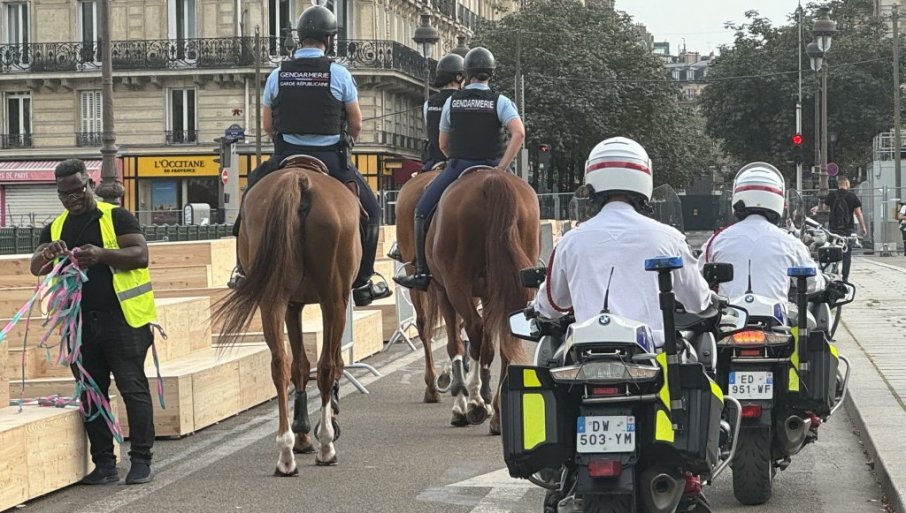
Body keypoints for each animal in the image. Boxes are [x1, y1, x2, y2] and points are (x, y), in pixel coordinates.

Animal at [212, 157, 361, 475]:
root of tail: (299, 179)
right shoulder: (333, 302)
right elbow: (328, 365)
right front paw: (322, 430)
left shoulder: (292, 306)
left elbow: (300, 366)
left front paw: (302, 434)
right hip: (333, 300)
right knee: (327, 366)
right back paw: (326, 446)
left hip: (272, 299)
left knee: (279, 364)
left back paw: (286, 452)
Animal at [424, 167, 540, 433]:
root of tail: (492, 180)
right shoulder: (488, 294)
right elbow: (487, 344)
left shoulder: (444, 292)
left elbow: (456, 343)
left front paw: (462, 404)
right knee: (506, 337)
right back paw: (496, 412)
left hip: (456, 285)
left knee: (474, 330)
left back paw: (475, 402)